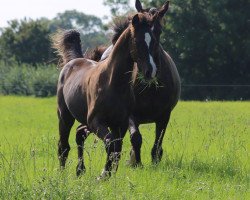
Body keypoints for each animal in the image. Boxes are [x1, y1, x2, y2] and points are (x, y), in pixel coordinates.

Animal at [52, 12, 161, 178]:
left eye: (154, 41)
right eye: (137, 41)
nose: (151, 71)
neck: (113, 84)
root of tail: (73, 61)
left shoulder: (120, 123)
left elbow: (117, 148)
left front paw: (109, 174)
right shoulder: (96, 121)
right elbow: (110, 143)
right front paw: (103, 175)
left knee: (79, 134)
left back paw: (80, 170)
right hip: (65, 116)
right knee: (63, 145)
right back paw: (62, 174)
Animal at [83, 0, 181, 167]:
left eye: (159, 31)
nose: (150, 71)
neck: (150, 89)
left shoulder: (164, 115)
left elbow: (157, 143)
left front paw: (154, 162)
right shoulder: (131, 115)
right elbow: (136, 138)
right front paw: (137, 164)